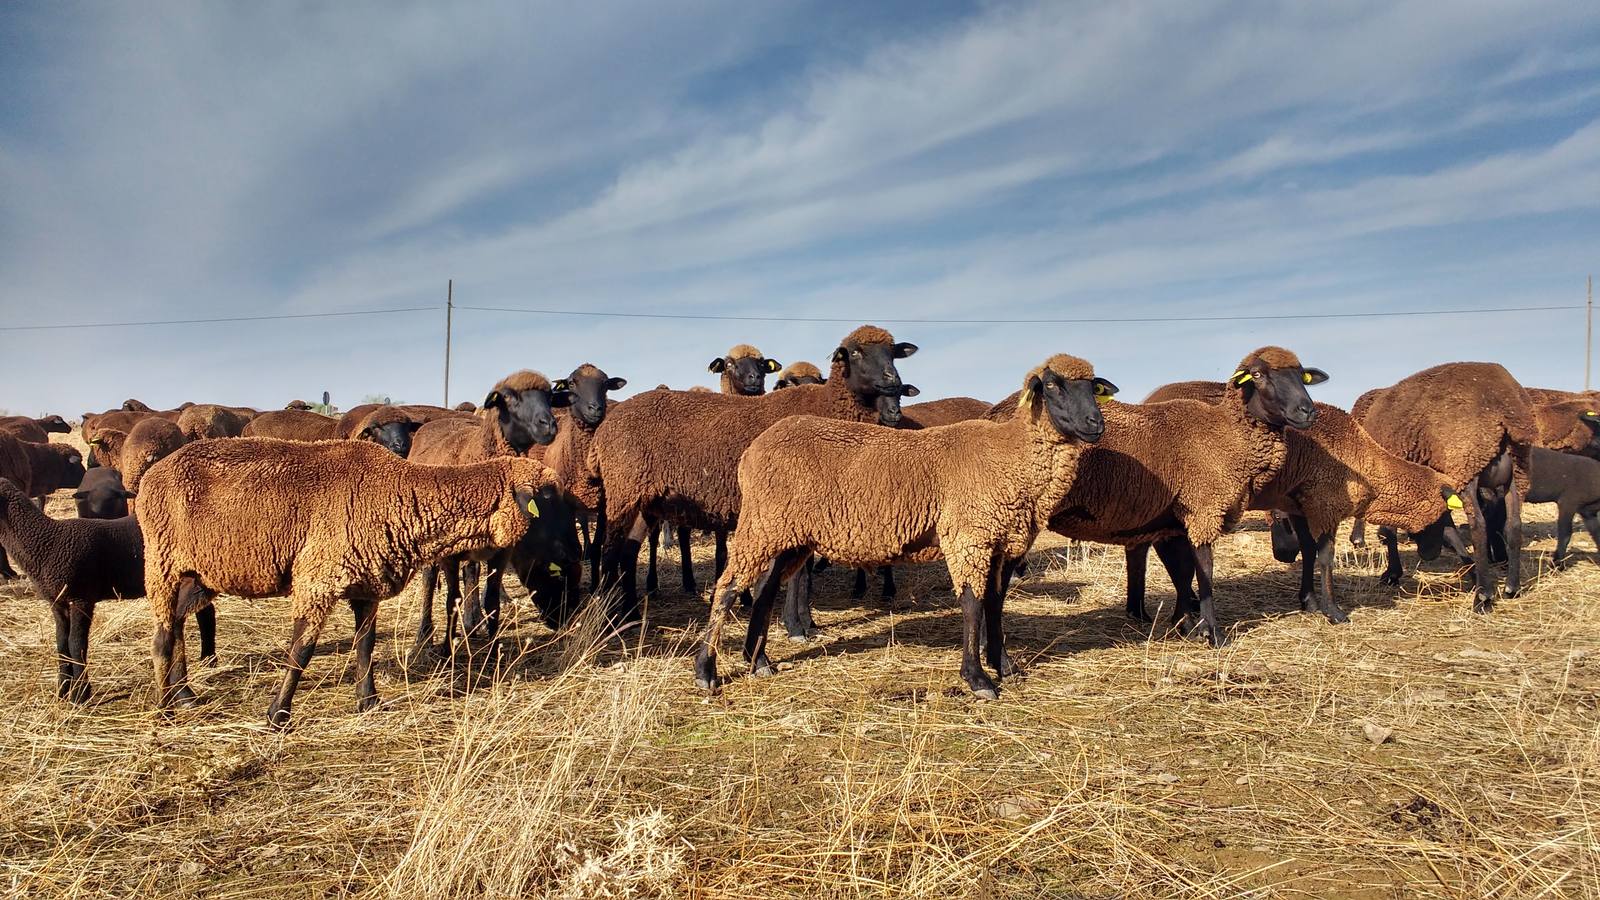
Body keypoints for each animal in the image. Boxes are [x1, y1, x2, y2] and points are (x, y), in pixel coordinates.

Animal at [139, 438, 563, 723]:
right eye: (546, 497)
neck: (398, 491)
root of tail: (152, 475)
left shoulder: (367, 584)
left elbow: (365, 645)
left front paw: (368, 699)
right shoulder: (317, 578)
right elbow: (302, 650)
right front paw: (278, 713)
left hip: (198, 574)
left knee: (176, 625)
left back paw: (185, 694)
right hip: (161, 562)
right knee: (161, 637)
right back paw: (165, 708)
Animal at [592, 323, 921, 624]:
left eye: (893, 352)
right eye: (855, 352)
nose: (892, 380)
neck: (826, 406)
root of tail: (606, 426)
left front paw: (801, 620)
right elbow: (798, 574)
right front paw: (797, 623)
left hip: (645, 500)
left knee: (628, 553)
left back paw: (632, 615)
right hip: (623, 492)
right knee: (611, 551)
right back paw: (609, 616)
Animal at [1350, 360, 1536, 605]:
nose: (1428, 554)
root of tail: (1505, 410)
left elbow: (1392, 529)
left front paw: (1392, 573)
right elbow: (1448, 528)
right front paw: (1471, 572)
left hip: (1466, 463)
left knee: (1479, 526)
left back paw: (1483, 596)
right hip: (1517, 471)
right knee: (1513, 524)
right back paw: (1512, 587)